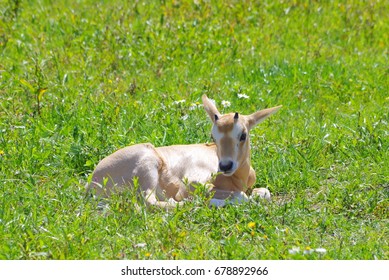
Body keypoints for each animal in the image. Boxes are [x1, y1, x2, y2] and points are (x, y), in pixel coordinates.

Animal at [87, 95, 282, 207]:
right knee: (151, 201)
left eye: (243, 135)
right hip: (149, 165)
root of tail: (92, 181)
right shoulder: (193, 184)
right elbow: (241, 196)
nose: (225, 166)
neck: (238, 178)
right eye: (213, 137)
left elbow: (264, 192)